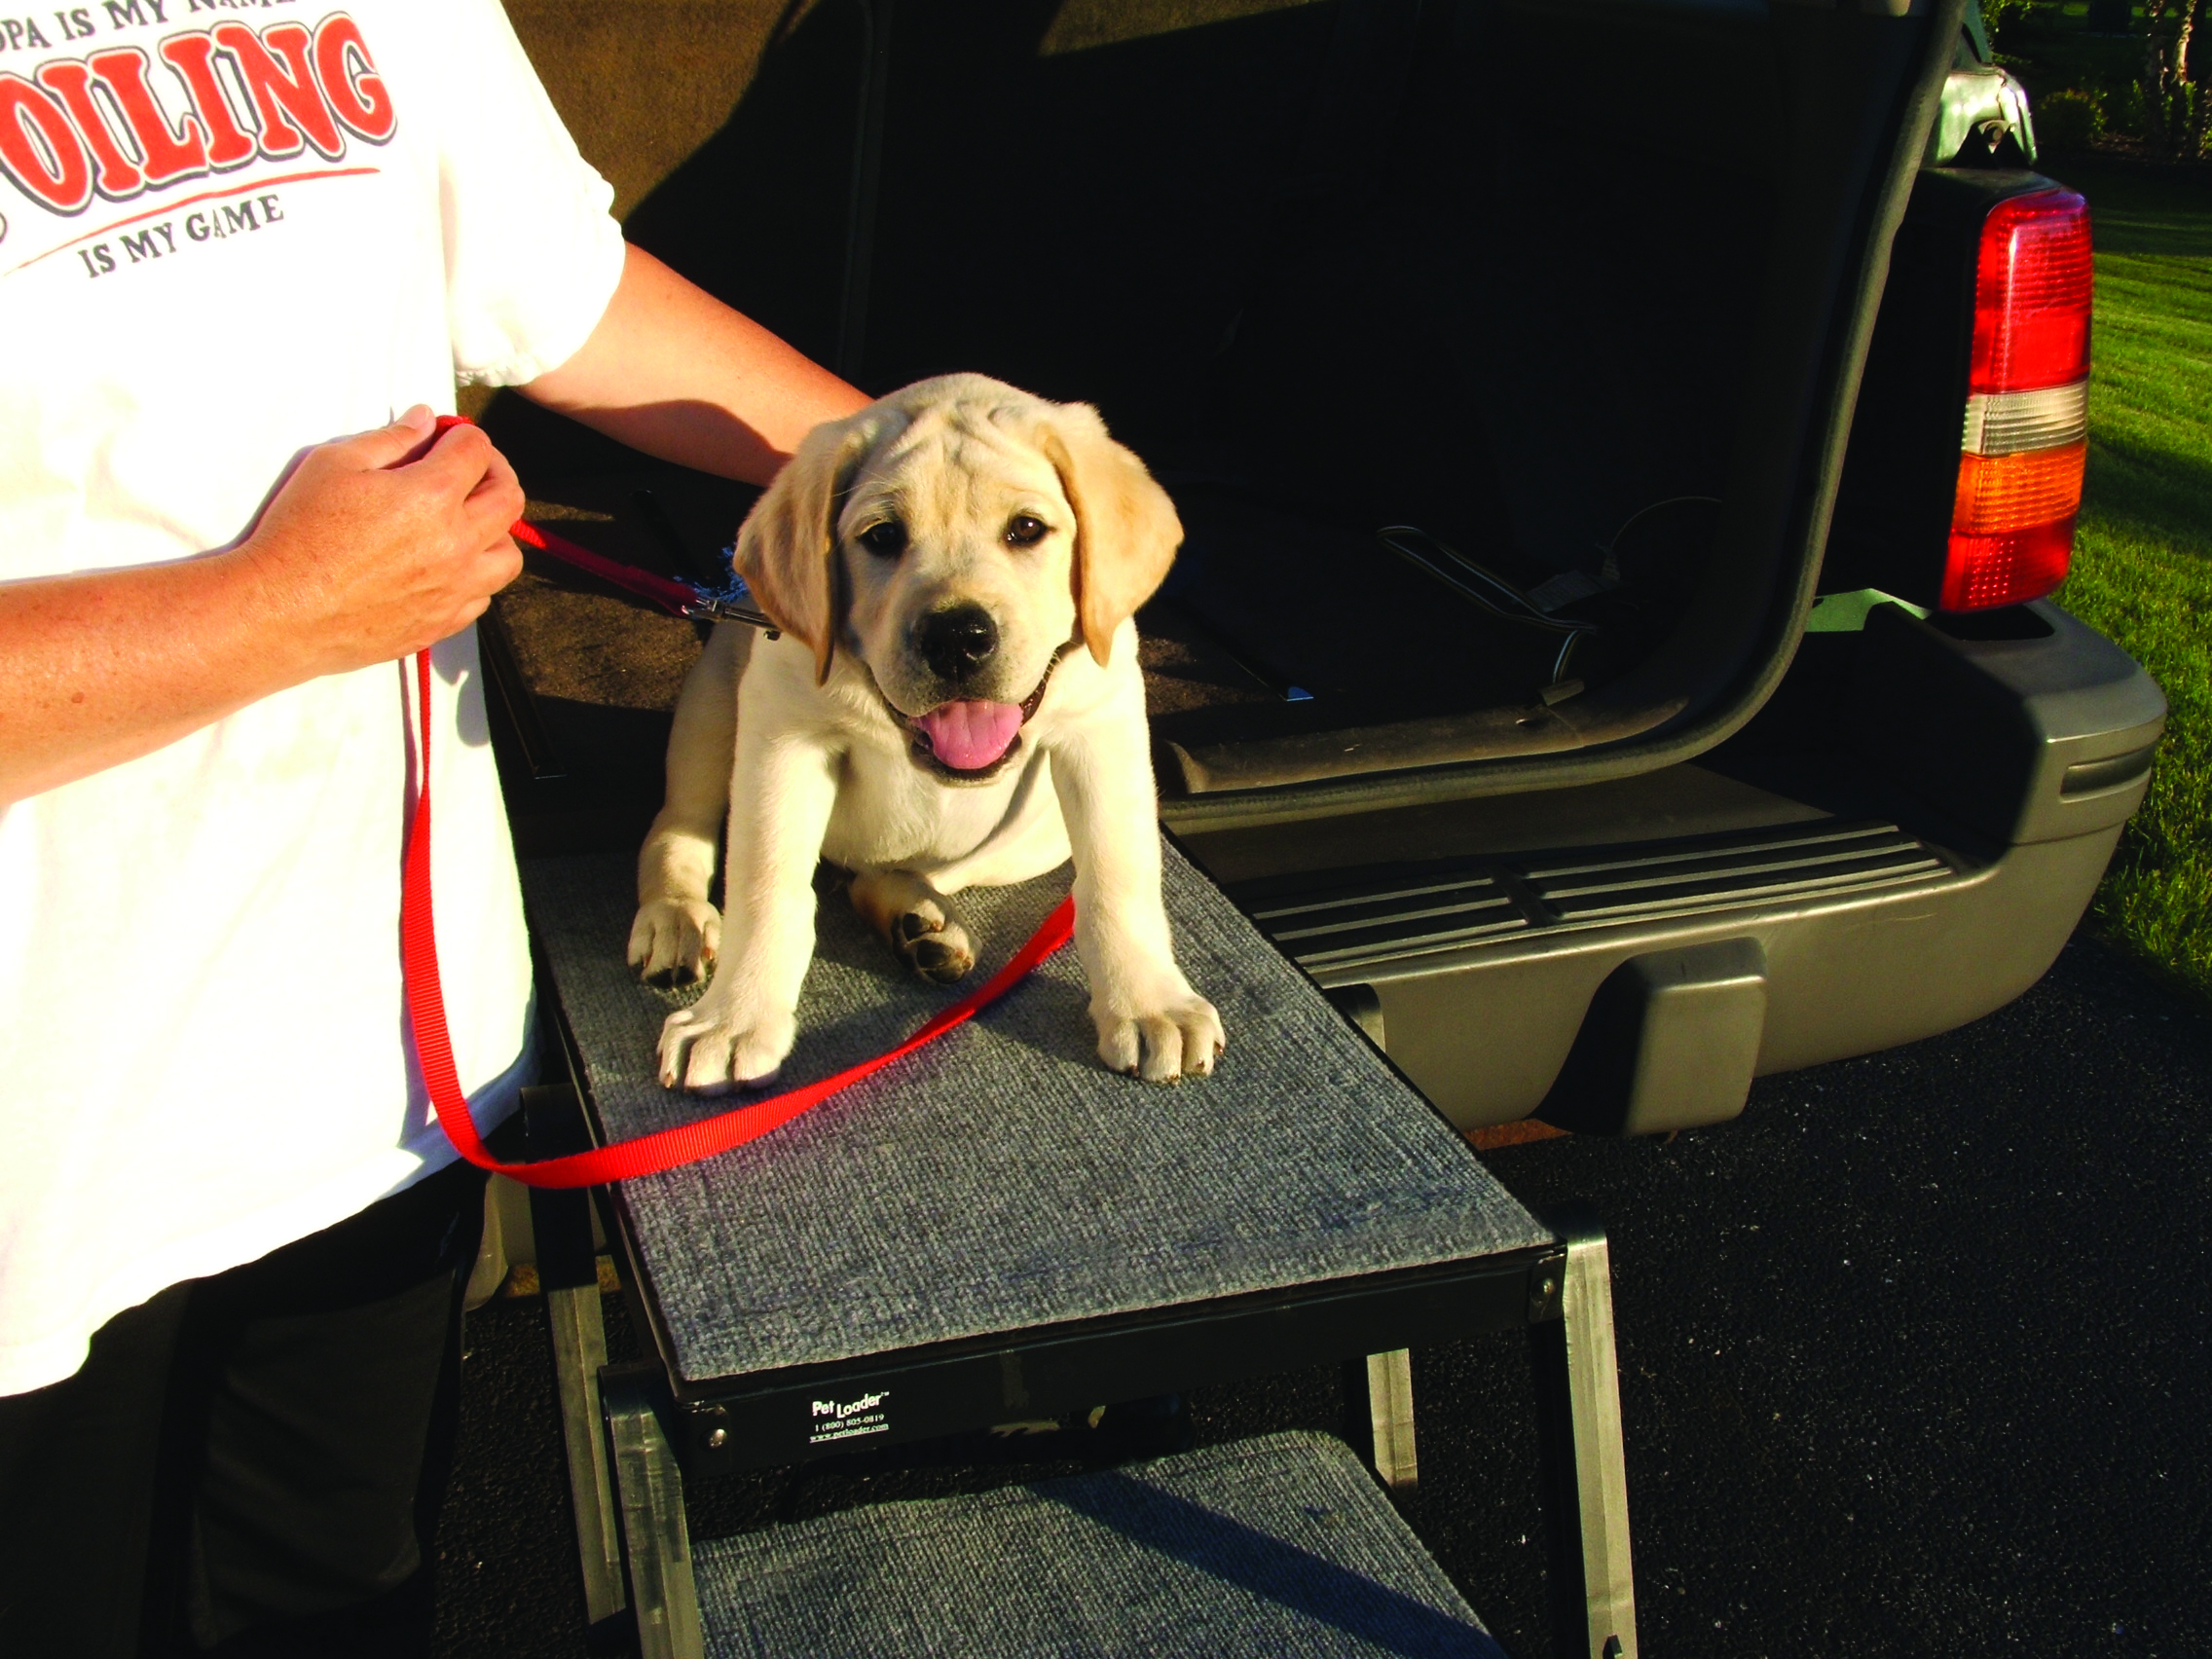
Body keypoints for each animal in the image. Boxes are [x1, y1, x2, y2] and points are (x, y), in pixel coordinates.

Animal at [628, 380, 1230, 1106]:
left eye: (1027, 529)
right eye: (882, 537)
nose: (957, 639)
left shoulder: (1103, 724)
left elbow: (1119, 876)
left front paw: (1148, 1003)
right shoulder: (782, 733)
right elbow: (766, 884)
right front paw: (734, 1018)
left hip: (1029, 842)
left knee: (895, 872)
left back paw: (919, 923)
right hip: (714, 704)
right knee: (677, 824)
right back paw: (676, 918)